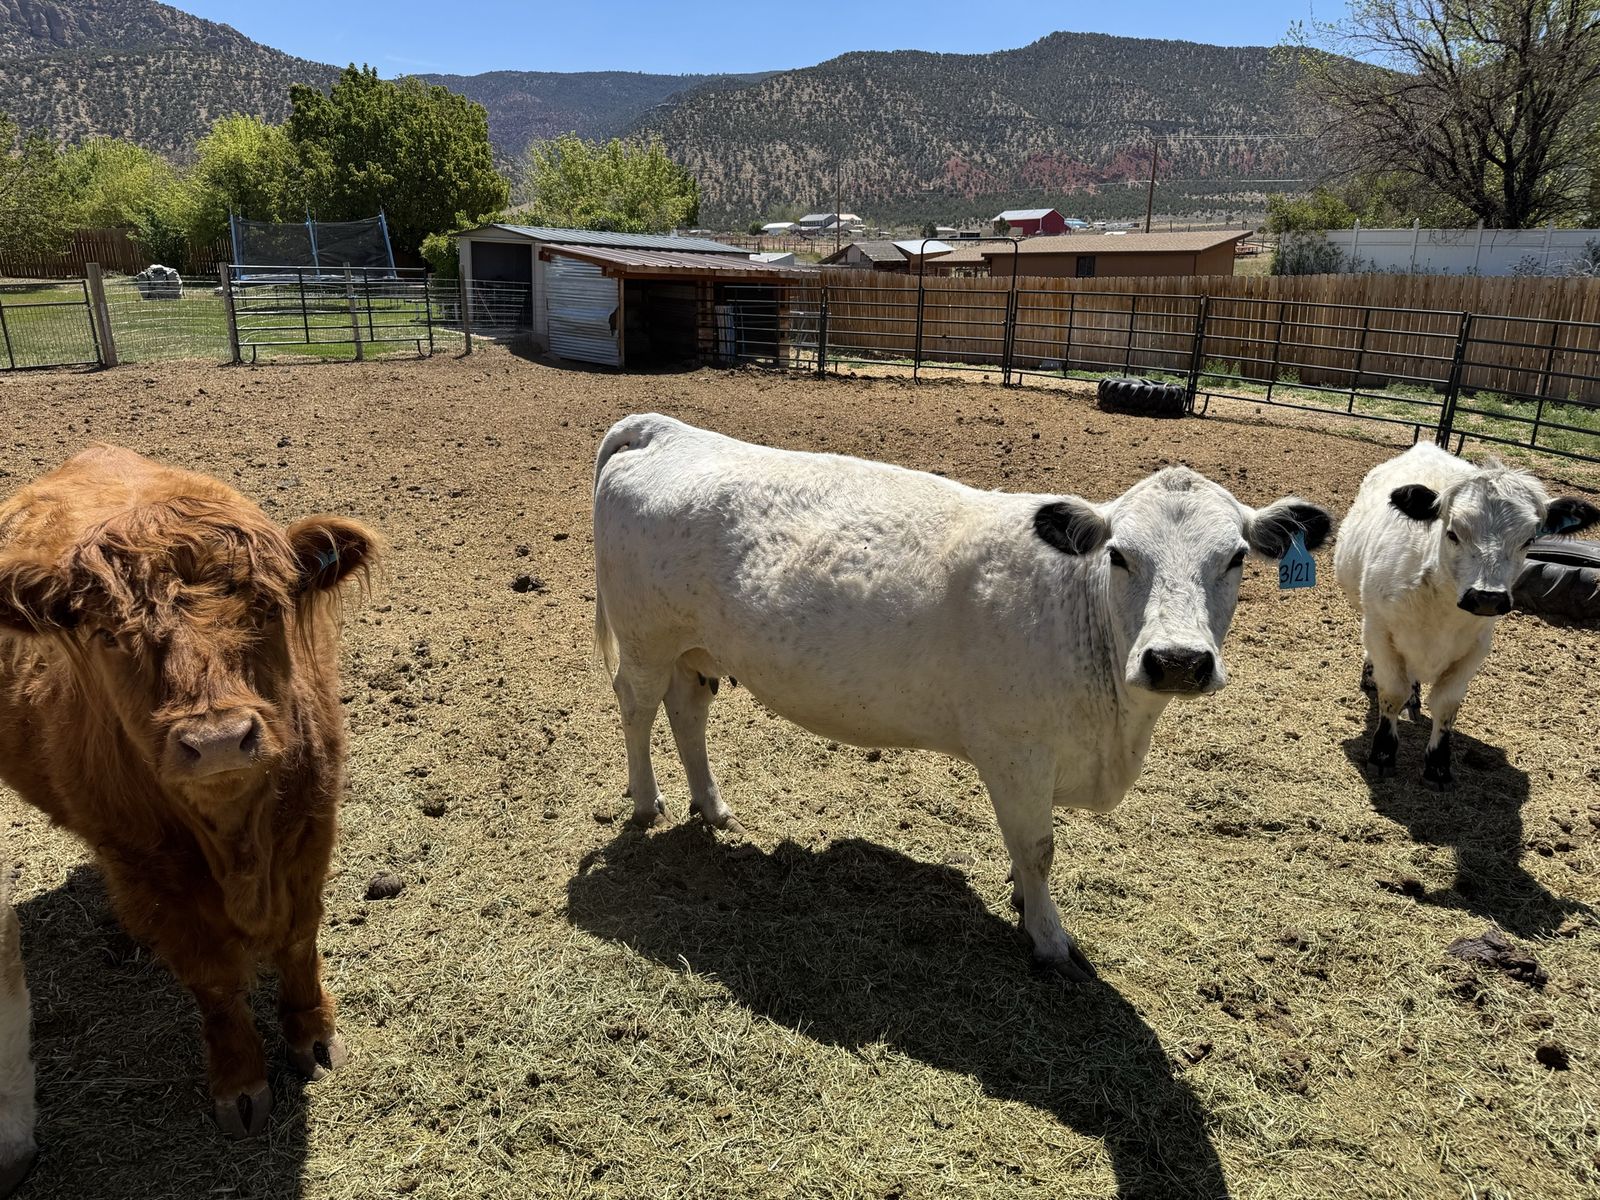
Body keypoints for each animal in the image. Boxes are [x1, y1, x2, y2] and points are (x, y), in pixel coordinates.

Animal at [0, 445, 378, 1173]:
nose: (219, 740)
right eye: (108, 635)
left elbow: (299, 943)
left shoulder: (311, 831)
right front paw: (241, 1083)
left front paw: (313, 1037)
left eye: (268, 608)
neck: (238, 847)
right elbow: (215, 986)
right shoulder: (150, 875)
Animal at [592, 414, 1332, 981]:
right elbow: (1038, 846)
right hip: (646, 638)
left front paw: (1023, 900)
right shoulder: (1015, 751)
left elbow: (1024, 848)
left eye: (1235, 557)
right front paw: (1049, 936)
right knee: (635, 706)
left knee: (688, 713)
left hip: (695, 651)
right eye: (1120, 555)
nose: (1178, 660)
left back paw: (712, 806)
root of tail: (664, 428)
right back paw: (646, 801)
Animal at [1334, 442, 1599, 787]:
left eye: (1529, 540)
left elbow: (1446, 705)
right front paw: (1382, 754)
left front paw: (1437, 766)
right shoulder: (1381, 632)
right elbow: (1392, 691)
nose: (1486, 596)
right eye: (1453, 532)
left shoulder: (1475, 649)